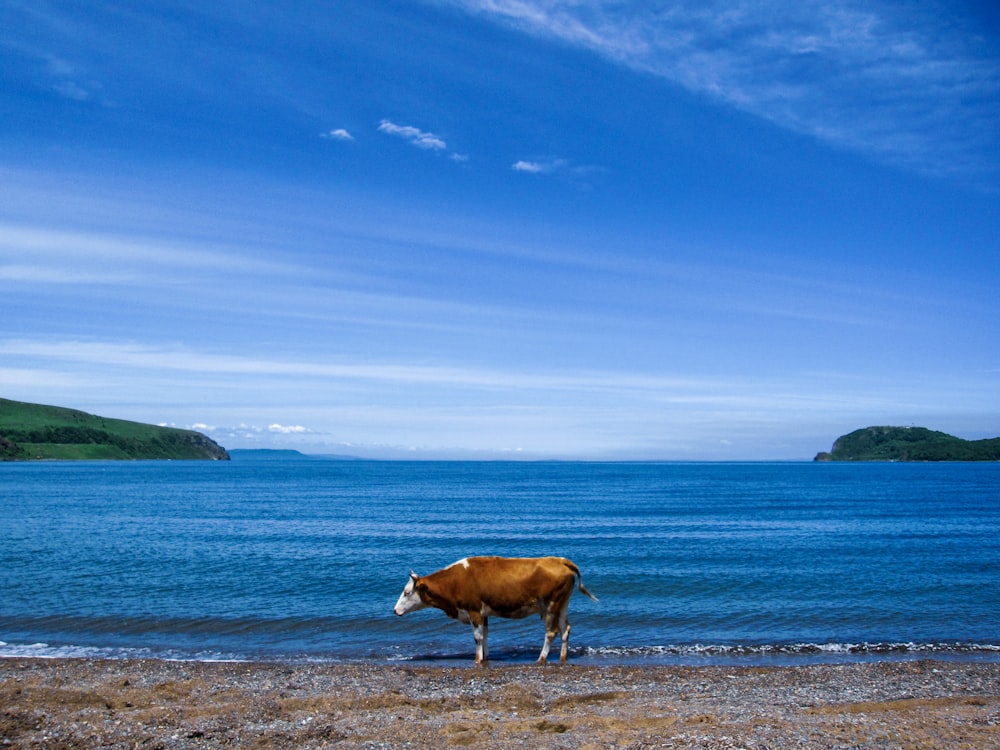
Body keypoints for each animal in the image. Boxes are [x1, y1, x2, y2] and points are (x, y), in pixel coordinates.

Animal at [390, 556, 592, 668]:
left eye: (406, 592)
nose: (395, 610)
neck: (455, 582)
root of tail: (561, 560)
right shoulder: (483, 614)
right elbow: (486, 634)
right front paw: (486, 657)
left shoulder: (474, 610)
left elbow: (477, 637)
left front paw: (477, 660)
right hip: (562, 605)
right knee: (565, 629)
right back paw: (563, 657)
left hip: (551, 605)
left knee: (551, 632)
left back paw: (541, 659)